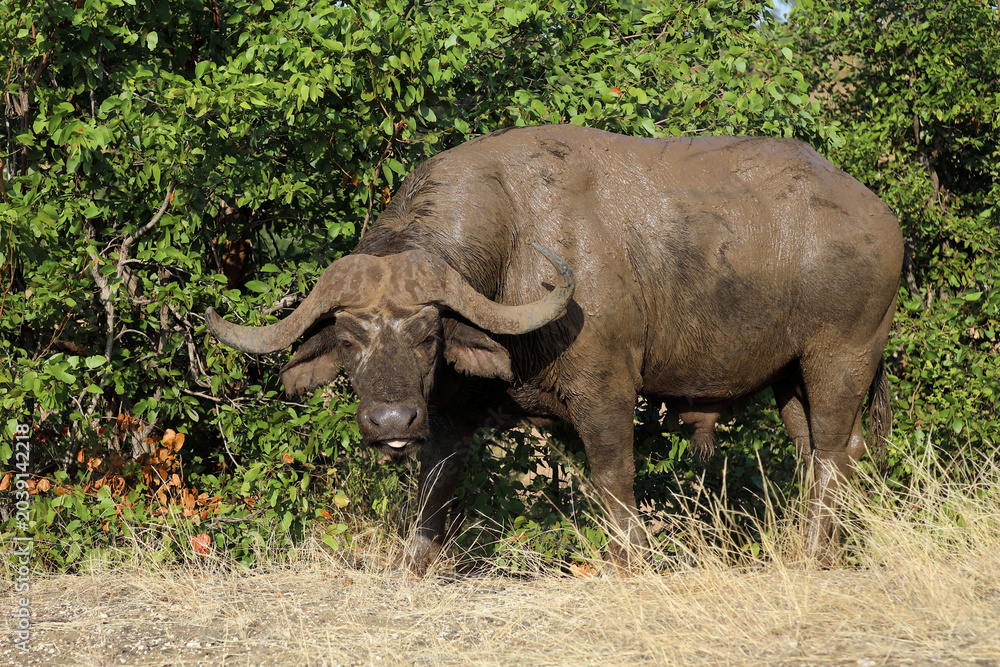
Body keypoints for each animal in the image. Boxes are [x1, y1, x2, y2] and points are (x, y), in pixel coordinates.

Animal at [207, 124, 903, 574]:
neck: (515, 245)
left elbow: (613, 478)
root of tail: (883, 219)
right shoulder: (451, 411)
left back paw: (814, 555)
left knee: (833, 456)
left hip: (841, 357)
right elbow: (434, 486)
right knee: (826, 453)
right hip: (791, 377)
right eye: (350, 339)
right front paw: (413, 567)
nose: (390, 421)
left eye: (429, 332)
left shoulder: (606, 390)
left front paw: (630, 563)